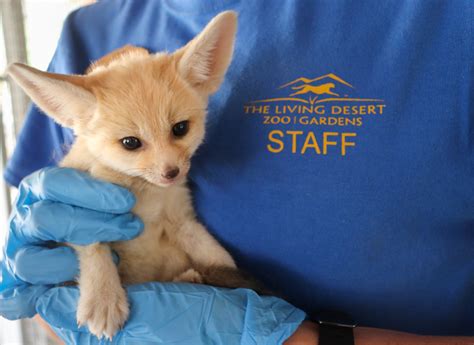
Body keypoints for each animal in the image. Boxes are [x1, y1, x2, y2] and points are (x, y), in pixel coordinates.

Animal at [7, 10, 262, 338]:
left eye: (180, 128)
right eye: (130, 143)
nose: (171, 173)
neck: (144, 196)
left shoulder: (181, 219)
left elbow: (216, 255)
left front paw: (239, 289)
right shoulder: (78, 211)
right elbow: (94, 248)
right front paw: (103, 297)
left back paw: (189, 280)